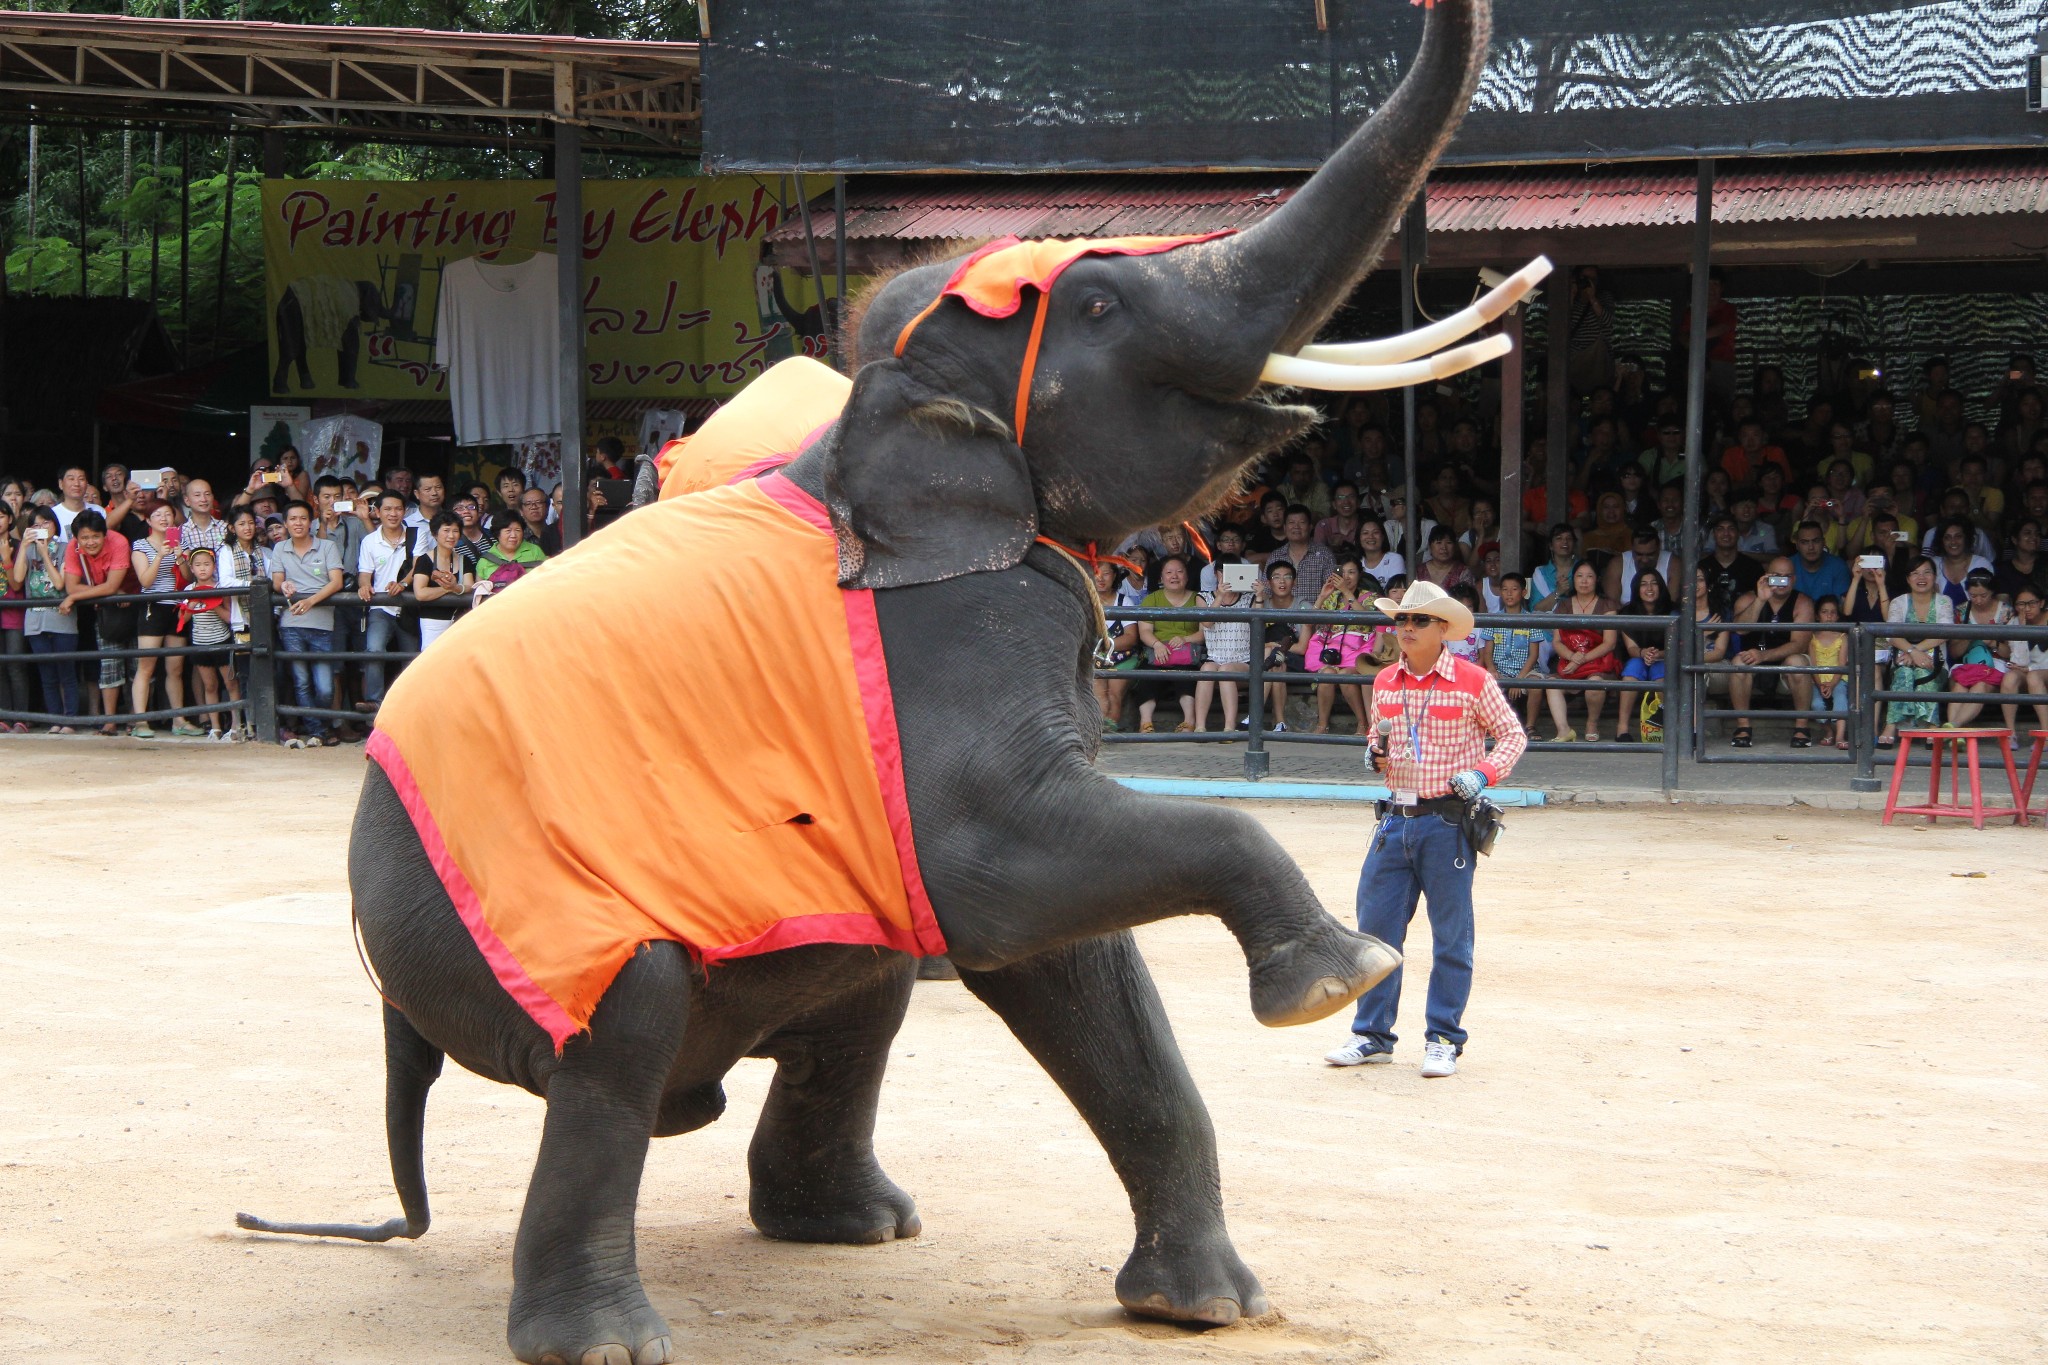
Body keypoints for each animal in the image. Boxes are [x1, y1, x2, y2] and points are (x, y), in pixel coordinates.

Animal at [235, 5, 1523, 1358]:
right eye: (1100, 301)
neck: (869, 418)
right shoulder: (947, 640)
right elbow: (996, 876)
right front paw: (1335, 980)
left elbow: (1058, 953)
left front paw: (1208, 1309)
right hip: (488, 925)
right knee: (622, 1034)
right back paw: (607, 1338)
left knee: (863, 986)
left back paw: (850, 1228)